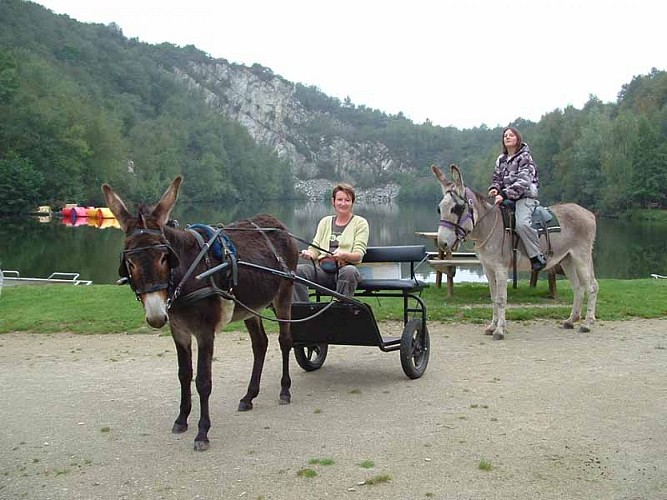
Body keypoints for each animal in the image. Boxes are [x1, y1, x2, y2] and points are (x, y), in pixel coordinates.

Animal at [102, 176, 298, 450]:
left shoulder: (205, 332)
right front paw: (181, 419)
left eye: (164, 257)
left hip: (283, 295)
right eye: (129, 263)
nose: (156, 316)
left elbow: (203, 381)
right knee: (260, 345)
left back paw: (284, 390)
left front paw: (202, 432)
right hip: (251, 307)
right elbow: (184, 375)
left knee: (285, 341)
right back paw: (249, 397)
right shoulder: (179, 331)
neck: (188, 273)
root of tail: (276, 222)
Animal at [431, 164, 598, 340]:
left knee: (592, 287)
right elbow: (493, 297)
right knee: (578, 287)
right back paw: (571, 320)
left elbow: (501, 299)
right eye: (439, 209)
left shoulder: (501, 269)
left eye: (457, 208)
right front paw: (492, 326)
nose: (442, 243)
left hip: (581, 257)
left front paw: (499, 331)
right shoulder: (488, 269)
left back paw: (587, 324)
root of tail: (588, 213)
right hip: (567, 260)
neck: (489, 227)